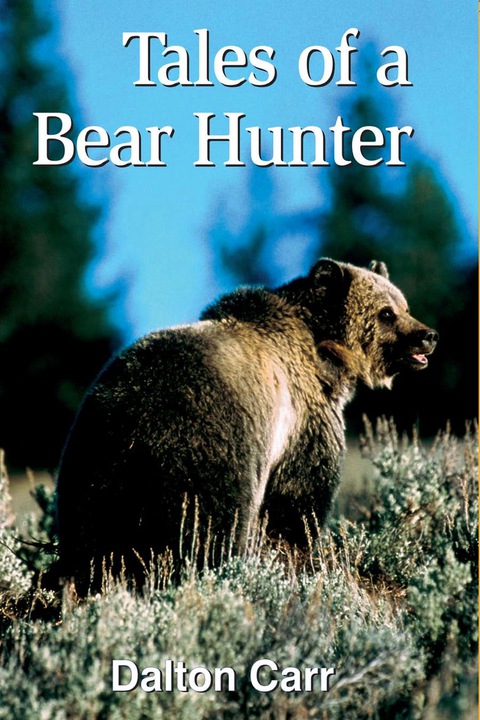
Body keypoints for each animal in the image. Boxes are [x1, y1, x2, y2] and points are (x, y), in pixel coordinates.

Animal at [55, 259, 437, 590]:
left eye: (403, 304)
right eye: (386, 313)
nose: (428, 335)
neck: (325, 354)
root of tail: (135, 420)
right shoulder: (304, 416)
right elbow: (299, 495)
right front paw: (299, 548)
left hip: (92, 464)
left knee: (90, 537)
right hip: (208, 449)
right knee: (209, 527)